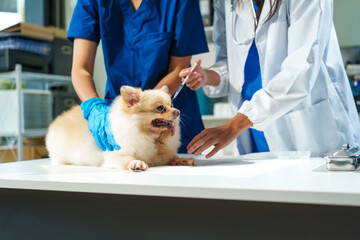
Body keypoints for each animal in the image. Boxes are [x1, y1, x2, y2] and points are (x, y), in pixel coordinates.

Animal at [46, 86, 197, 171]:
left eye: (171, 105)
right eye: (160, 108)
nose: (177, 111)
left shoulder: (163, 156)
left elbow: (172, 157)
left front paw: (182, 160)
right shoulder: (114, 156)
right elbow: (127, 159)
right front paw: (136, 163)